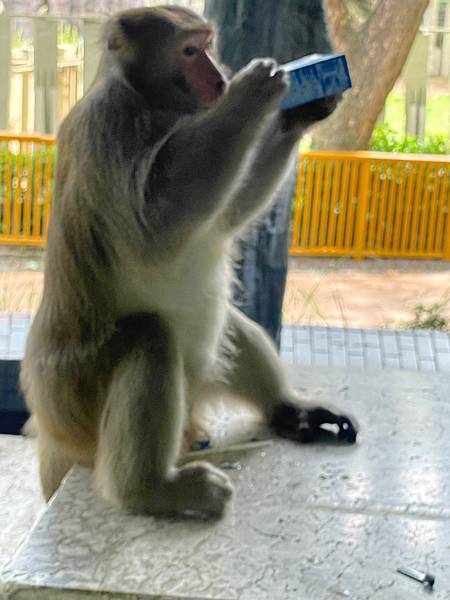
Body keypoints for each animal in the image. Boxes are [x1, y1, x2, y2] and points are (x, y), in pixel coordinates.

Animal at [21, 4, 356, 516]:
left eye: (208, 45)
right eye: (190, 51)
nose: (219, 77)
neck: (150, 102)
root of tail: (52, 429)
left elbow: (226, 214)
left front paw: (299, 110)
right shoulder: (109, 128)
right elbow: (154, 225)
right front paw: (252, 95)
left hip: (193, 382)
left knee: (223, 322)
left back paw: (287, 409)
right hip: (76, 395)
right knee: (151, 336)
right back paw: (150, 489)